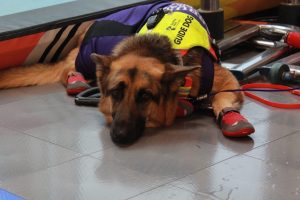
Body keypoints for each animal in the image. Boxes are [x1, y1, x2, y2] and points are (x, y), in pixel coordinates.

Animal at [0, 2, 254, 145]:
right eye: (116, 93)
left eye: (145, 96)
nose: (119, 136)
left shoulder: (228, 81)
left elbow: (222, 99)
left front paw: (232, 118)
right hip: (93, 49)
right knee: (66, 69)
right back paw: (75, 80)